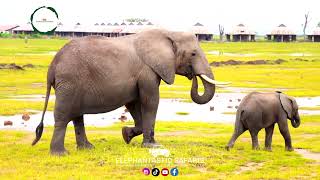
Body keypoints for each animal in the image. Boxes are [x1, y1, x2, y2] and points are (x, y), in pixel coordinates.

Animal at [32, 28, 226, 155]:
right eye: (193, 54)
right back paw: (60, 153)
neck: (169, 33)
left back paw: (87, 148)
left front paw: (126, 135)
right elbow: (150, 101)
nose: (193, 76)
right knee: (63, 116)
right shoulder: (148, 71)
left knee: (77, 116)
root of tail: (52, 66)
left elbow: (134, 102)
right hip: (69, 82)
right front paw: (153, 146)